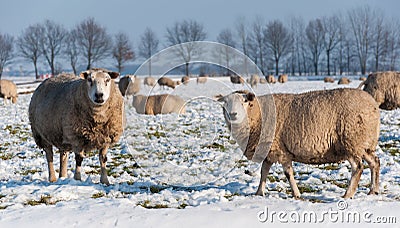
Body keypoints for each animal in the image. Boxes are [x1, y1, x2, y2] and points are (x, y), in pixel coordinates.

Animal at [217, 88, 380, 199]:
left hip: (351, 141)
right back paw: (373, 190)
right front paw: (259, 192)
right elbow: (264, 171)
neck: (258, 115)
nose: (233, 114)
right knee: (375, 162)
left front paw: (296, 194)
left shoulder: (280, 150)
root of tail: (373, 105)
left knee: (358, 167)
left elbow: (288, 173)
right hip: (365, 144)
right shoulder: (270, 150)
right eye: (225, 103)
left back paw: (347, 194)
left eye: (244, 101)